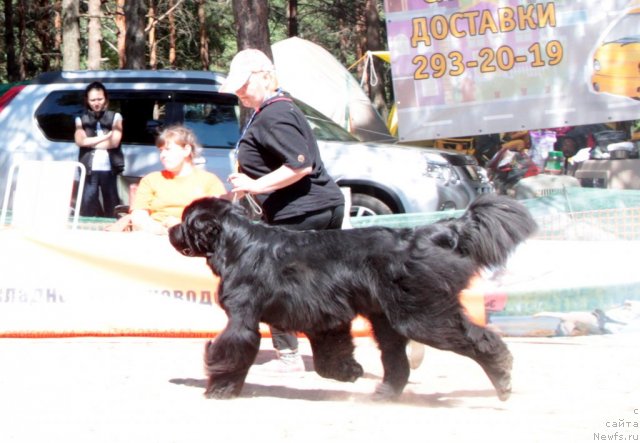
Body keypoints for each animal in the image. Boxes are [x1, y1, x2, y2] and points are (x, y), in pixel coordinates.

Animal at [169, 194, 536, 402]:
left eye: (186, 222)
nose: (172, 230)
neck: (236, 242)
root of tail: (426, 233)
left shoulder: (243, 316)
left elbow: (231, 349)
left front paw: (219, 389)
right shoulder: (322, 316)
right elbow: (331, 353)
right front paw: (349, 372)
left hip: (420, 315)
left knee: (479, 340)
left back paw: (503, 379)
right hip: (388, 318)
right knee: (397, 359)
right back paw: (385, 395)